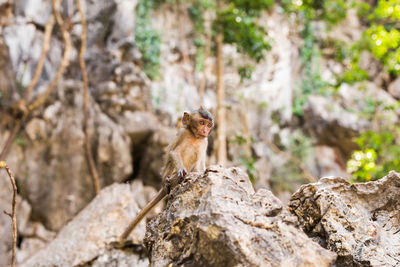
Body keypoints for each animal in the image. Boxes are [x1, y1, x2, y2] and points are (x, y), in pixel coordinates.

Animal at [120, 108, 214, 242]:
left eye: (209, 125)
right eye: (202, 123)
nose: (205, 131)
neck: (194, 136)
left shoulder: (204, 141)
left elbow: (200, 164)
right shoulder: (183, 133)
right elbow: (174, 152)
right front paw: (181, 170)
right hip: (168, 174)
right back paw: (171, 179)